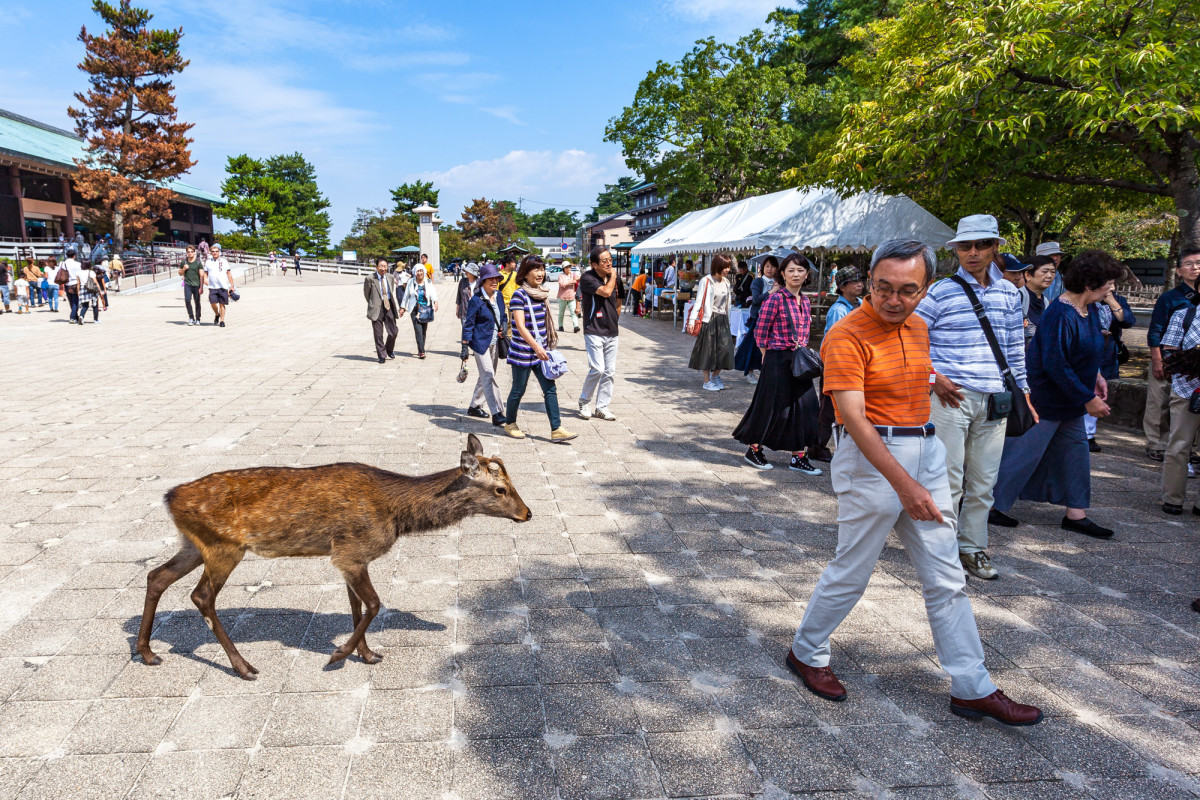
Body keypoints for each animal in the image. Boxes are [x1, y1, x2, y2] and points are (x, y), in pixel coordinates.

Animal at [136, 434, 530, 681]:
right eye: (500, 489)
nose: (527, 514)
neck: (396, 514)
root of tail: (169, 498)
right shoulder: (352, 552)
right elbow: (373, 605)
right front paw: (338, 654)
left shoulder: (347, 555)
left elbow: (357, 607)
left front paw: (366, 655)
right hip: (223, 547)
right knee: (201, 595)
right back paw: (243, 666)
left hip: (193, 545)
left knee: (156, 575)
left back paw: (147, 652)